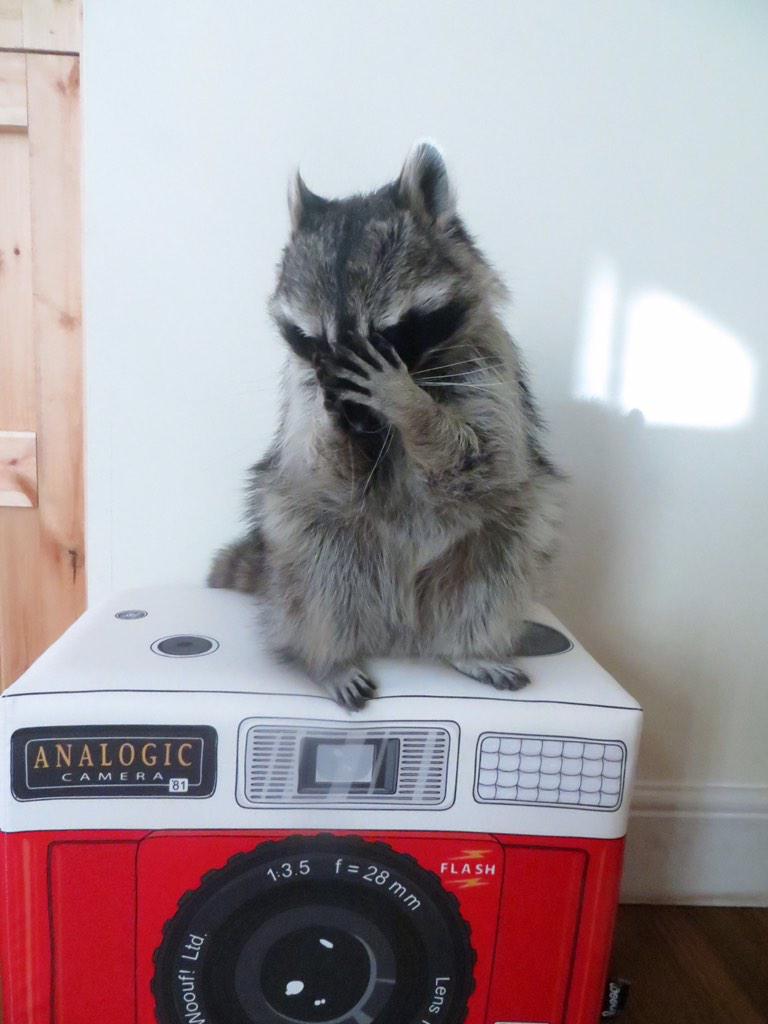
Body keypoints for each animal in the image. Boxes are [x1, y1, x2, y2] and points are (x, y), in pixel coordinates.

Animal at [209, 143, 562, 709]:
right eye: (313, 342)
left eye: (387, 334)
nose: (353, 416)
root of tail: (400, 626)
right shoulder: (303, 391)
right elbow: (327, 474)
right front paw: (339, 431)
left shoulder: (488, 367)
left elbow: (485, 457)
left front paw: (409, 404)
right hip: (303, 543)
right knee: (315, 568)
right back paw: (326, 659)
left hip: (499, 540)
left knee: (499, 557)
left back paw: (466, 646)